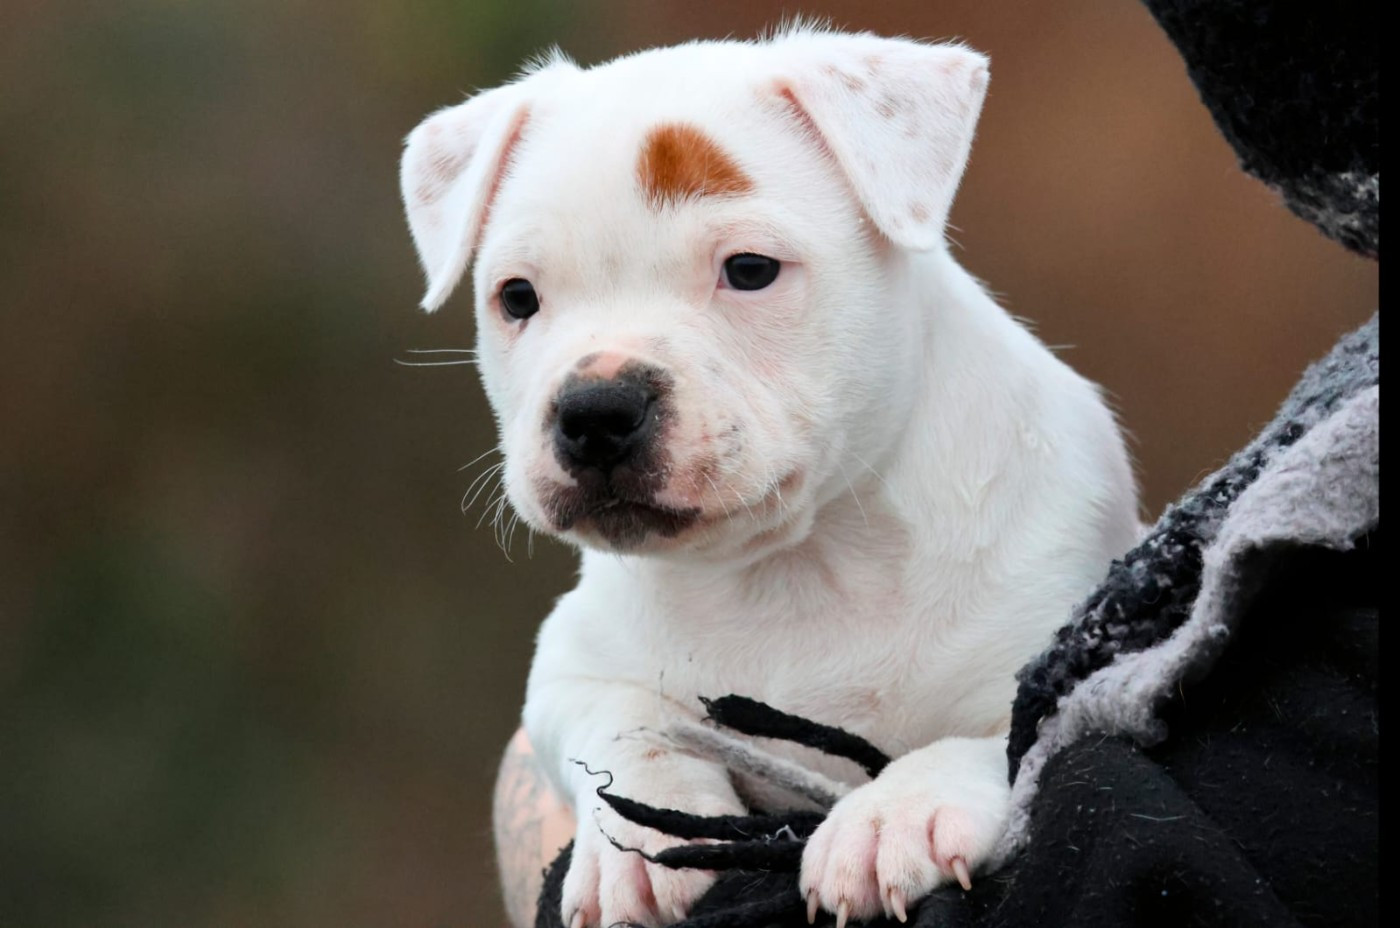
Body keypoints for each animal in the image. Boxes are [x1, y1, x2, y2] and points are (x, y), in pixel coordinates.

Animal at [400, 24, 1139, 928]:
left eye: (749, 269)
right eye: (516, 297)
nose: (596, 409)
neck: (798, 564)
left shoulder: (1056, 653)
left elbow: (998, 736)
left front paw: (894, 813)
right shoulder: (570, 667)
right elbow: (625, 719)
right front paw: (629, 839)